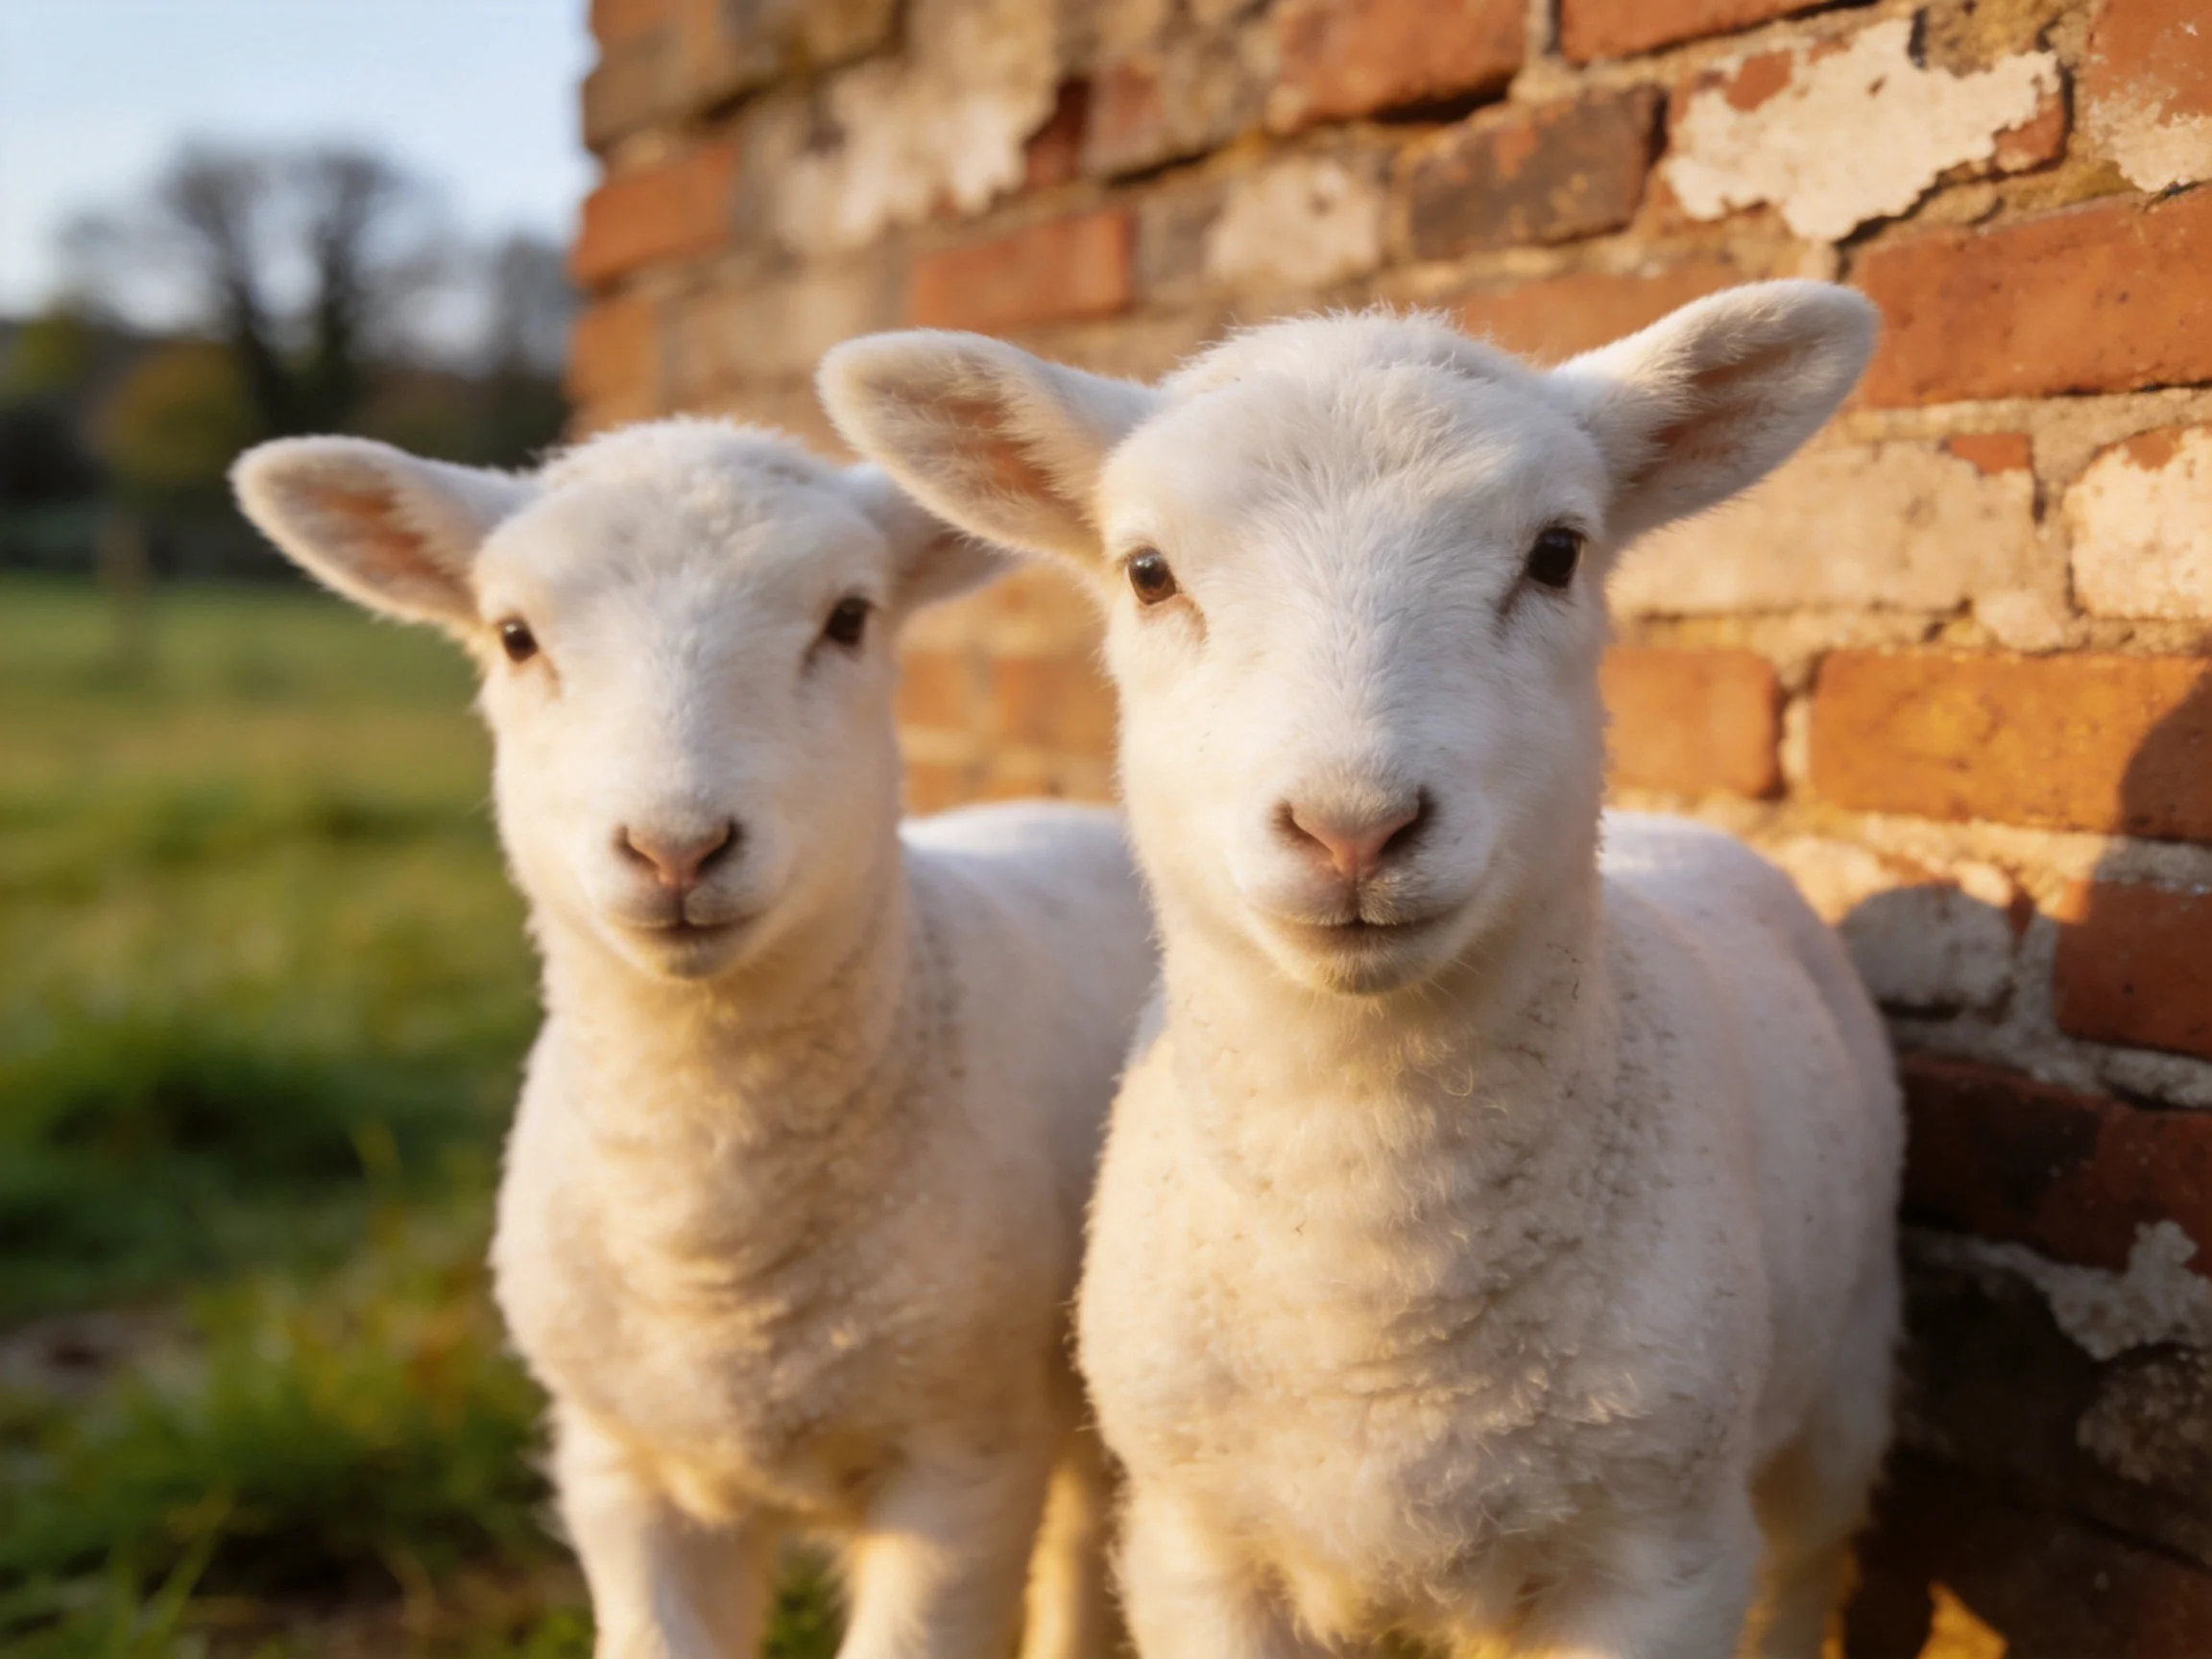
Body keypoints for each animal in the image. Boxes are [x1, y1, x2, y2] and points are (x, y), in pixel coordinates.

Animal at [230, 420, 1157, 1659]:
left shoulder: (962, 1465)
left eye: (849, 617)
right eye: (514, 636)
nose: (677, 849)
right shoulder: (617, 1467)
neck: (715, 1256)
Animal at [818, 283, 1906, 1659]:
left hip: (1843, 1375)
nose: (1353, 831)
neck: (1375, 1288)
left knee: (1807, 1561)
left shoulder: (1659, 1554)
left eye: (1558, 552)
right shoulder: (1195, 1544)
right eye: (1147, 572)